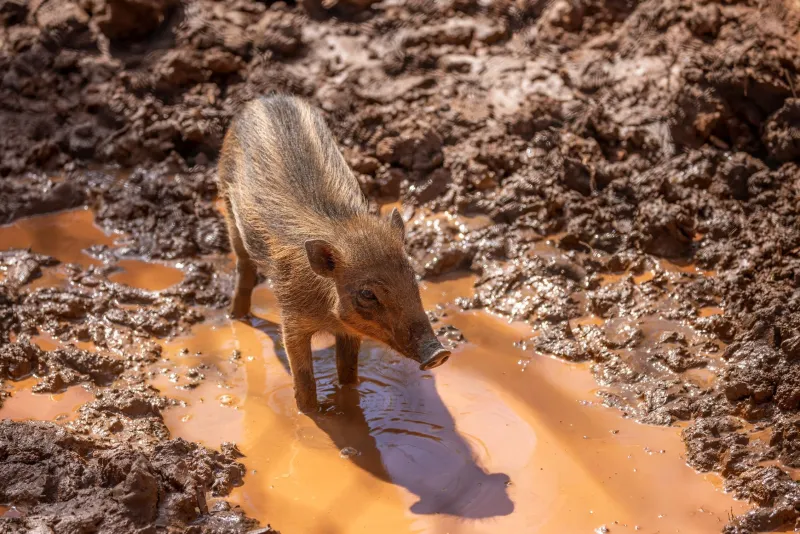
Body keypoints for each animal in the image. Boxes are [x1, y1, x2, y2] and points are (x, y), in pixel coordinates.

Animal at [217, 94, 451, 412]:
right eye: (367, 293)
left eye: (412, 276)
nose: (439, 353)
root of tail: (266, 98)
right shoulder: (292, 320)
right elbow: (303, 378)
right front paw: (309, 414)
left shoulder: (349, 330)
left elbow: (348, 372)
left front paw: (347, 403)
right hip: (228, 208)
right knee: (243, 266)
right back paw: (236, 317)